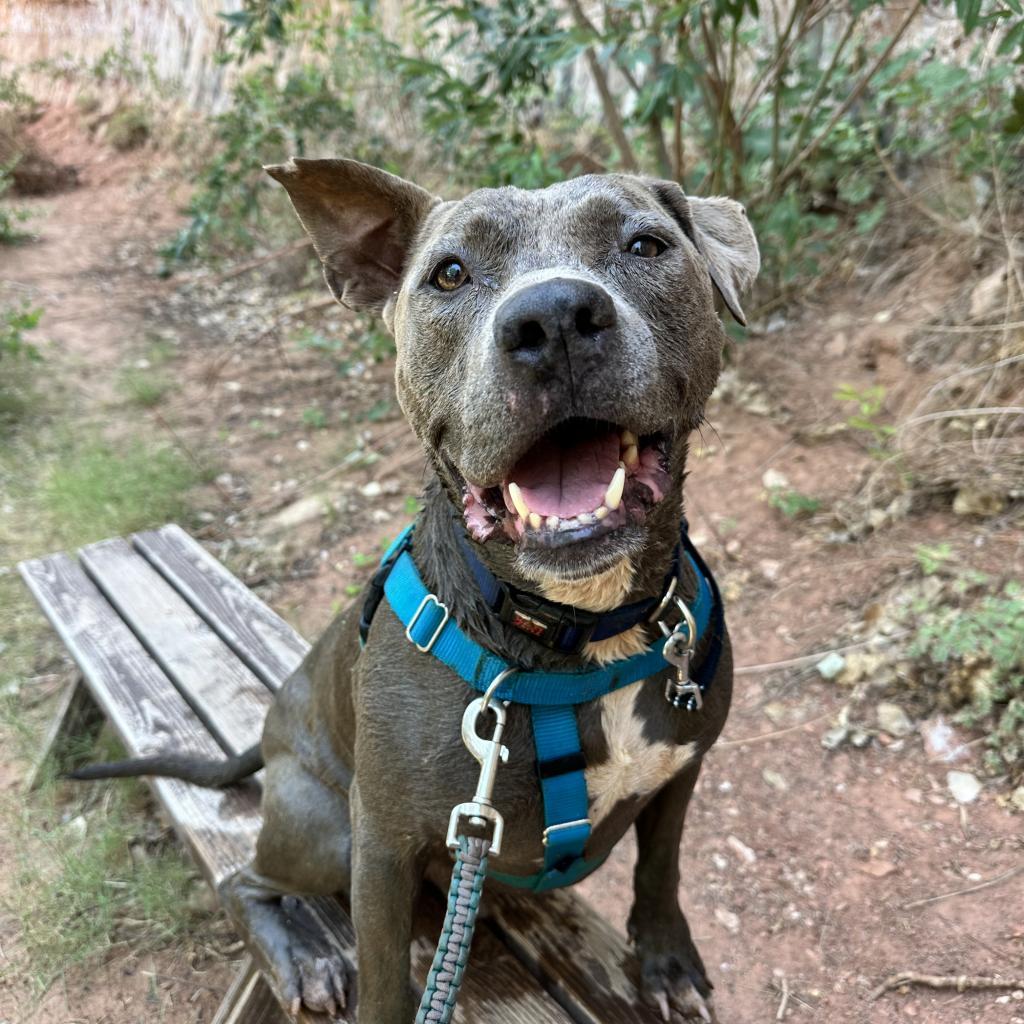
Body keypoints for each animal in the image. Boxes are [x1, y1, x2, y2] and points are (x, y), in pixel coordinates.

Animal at [75, 155, 757, 1019]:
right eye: (451, 273)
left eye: (645, 244)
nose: (552, 317)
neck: (579, 629)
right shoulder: (383, 842)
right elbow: (384, 984)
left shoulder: (681, 772)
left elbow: (660, 868)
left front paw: (666, 960)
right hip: (325, 831)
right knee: (243, 882)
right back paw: (303, 955)